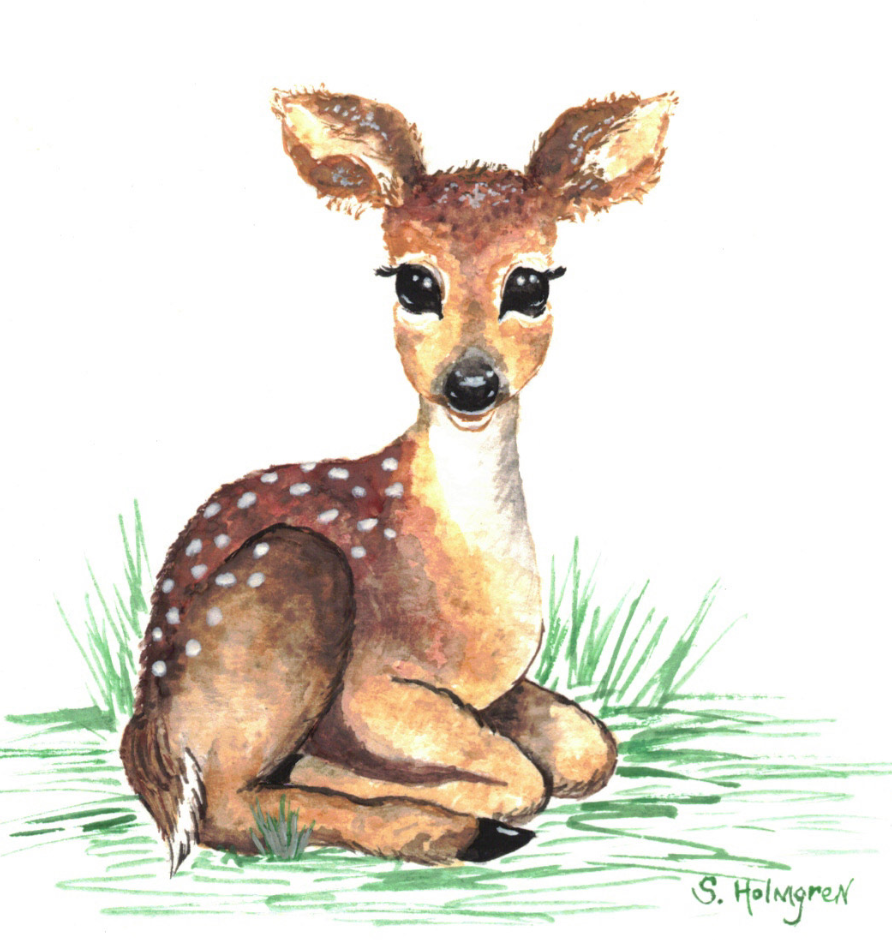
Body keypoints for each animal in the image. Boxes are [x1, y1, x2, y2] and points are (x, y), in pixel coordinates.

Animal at [120, 86, 675, 873]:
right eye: (415, 281)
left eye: (530, 283)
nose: (471, 382)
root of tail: (146, 724)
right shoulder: (372, 687)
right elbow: (521, 777)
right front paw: (398, 783)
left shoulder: (495, 691)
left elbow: (585, 748)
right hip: (285, 581)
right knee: (228, 807)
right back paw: (450, 830)